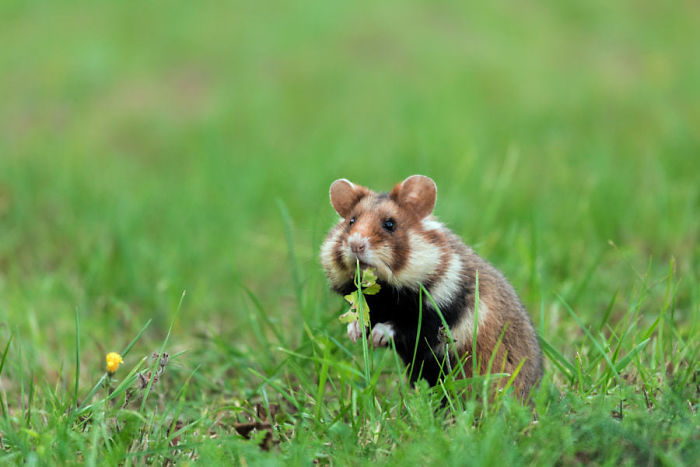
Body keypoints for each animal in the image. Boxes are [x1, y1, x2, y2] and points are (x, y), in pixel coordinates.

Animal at [320, 175, 543, 397]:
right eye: (351, 221)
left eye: (390, 224)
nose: (355, 245)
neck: (388, 292)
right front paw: (354, 332)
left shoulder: (444, 312)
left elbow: (411, 327)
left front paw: (377, 335)